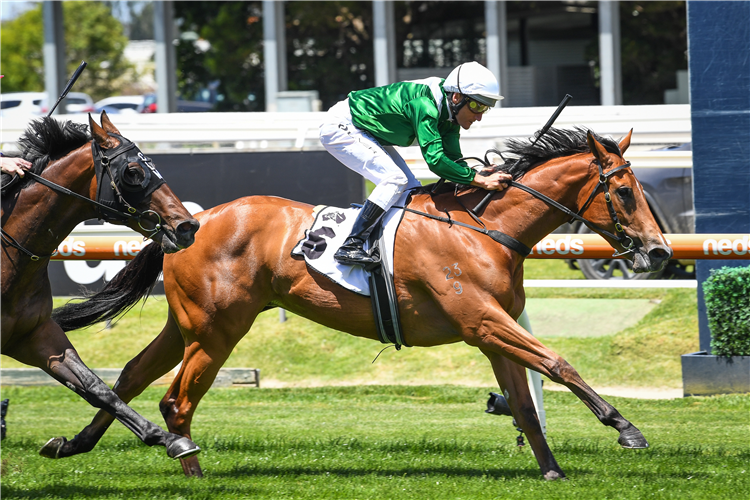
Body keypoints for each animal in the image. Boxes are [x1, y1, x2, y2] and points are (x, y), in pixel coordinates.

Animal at [0, 113, 203, 460]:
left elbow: (96, 388)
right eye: (133, 172)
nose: (187, 226)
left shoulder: (35, 335)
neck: (10, 258)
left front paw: (170, 439)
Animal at [53, 127, 676, 478]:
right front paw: (626, 428)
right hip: (216, 331)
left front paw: (551, 471)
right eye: (625, 191)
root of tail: (189, 221)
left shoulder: (492, 331)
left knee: (132, 374)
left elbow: (524, 402)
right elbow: (558, 362)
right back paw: (191, 471)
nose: (659, 250)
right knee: (176, 401)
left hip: (188, 324)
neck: (482, 226)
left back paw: (73, 445)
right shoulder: (482, 320)